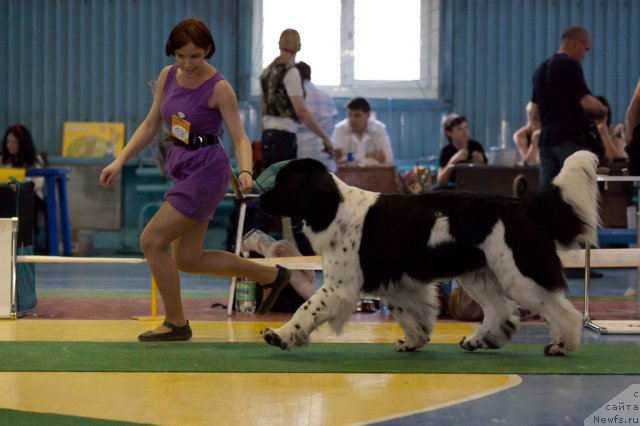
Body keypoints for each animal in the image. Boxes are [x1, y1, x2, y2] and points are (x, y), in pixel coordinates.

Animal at [258, 151, 596, 354]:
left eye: (283, 183)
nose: (259, 199)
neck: (334, 209)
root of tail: (524, 204)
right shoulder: (397, 283)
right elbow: (410, 314)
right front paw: (414, 341)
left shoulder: (340, 286)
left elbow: (307, 308)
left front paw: (281, 334)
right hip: (479, 274)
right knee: (501, 310)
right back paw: (478, 339)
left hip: (519, 274)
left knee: (561, 310)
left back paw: (562, 345)